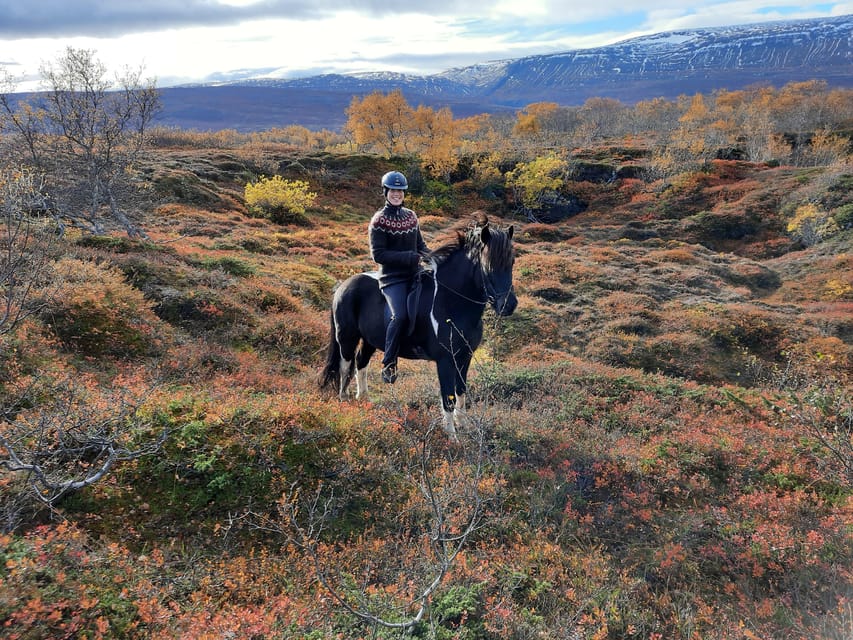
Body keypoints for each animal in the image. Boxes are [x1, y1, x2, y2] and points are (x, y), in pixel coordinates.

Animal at [322, 215, 516, 440]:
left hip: (371, 339)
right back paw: (344, 401)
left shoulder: (464, 357)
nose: (509, 305)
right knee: (345, 365)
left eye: (511, 262)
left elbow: (461, 390)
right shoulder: (445, 360)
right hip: (347, 337)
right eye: (488, 265)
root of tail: (343, 286)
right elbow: (448, 397)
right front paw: (452, 437)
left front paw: (464, 425)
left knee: (361, 362)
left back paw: (365, 400)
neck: (451, 302)